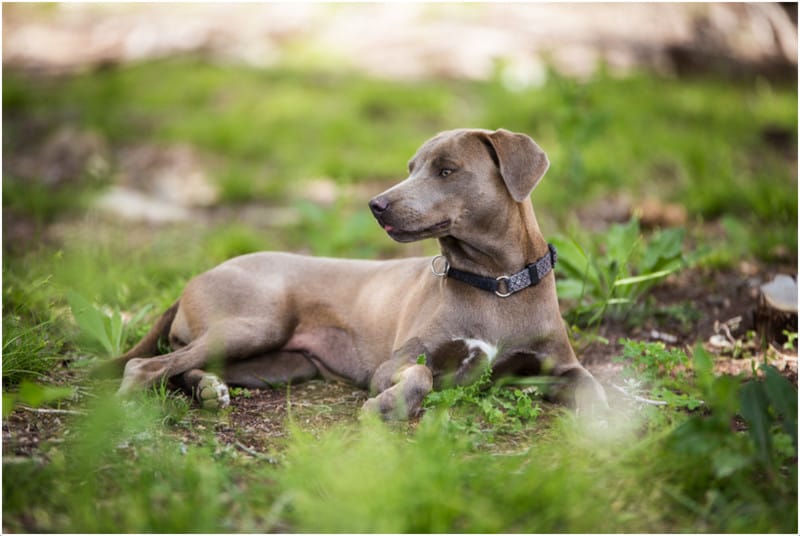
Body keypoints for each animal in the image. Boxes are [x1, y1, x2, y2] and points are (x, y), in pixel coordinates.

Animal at [114, 129, 608, 418]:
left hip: (277, 363)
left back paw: (208, 389)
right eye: (411, 168)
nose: (377, 205)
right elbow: (422, 376)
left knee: (185, 367)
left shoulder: (562, 366)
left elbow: (595, 389)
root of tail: (199, 276)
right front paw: (388, 406)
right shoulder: (396, 362)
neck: (496, 285)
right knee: (148, 365)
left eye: (447, 170)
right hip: (255, 323)